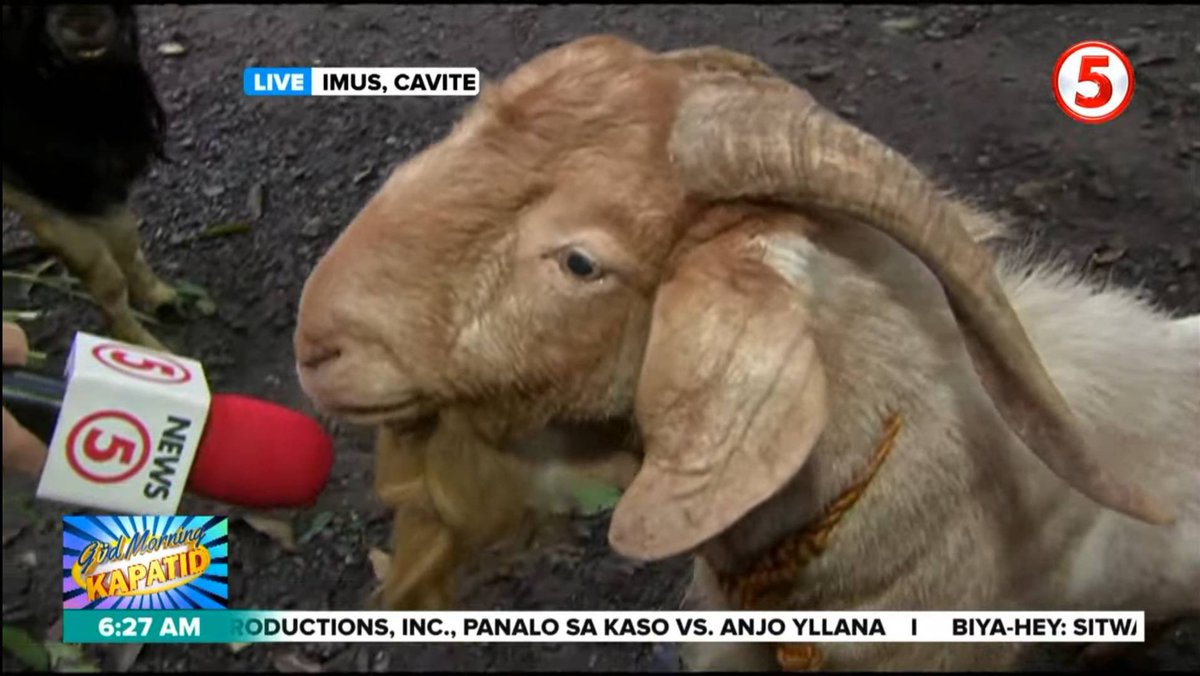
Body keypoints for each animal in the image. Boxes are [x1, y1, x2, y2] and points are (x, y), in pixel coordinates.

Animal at [3, 4, 181, 351]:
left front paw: (159, 298)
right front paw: (144, 345)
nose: (85, 24)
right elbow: (104, 275)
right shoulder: (43, 193)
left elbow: (126, 241)